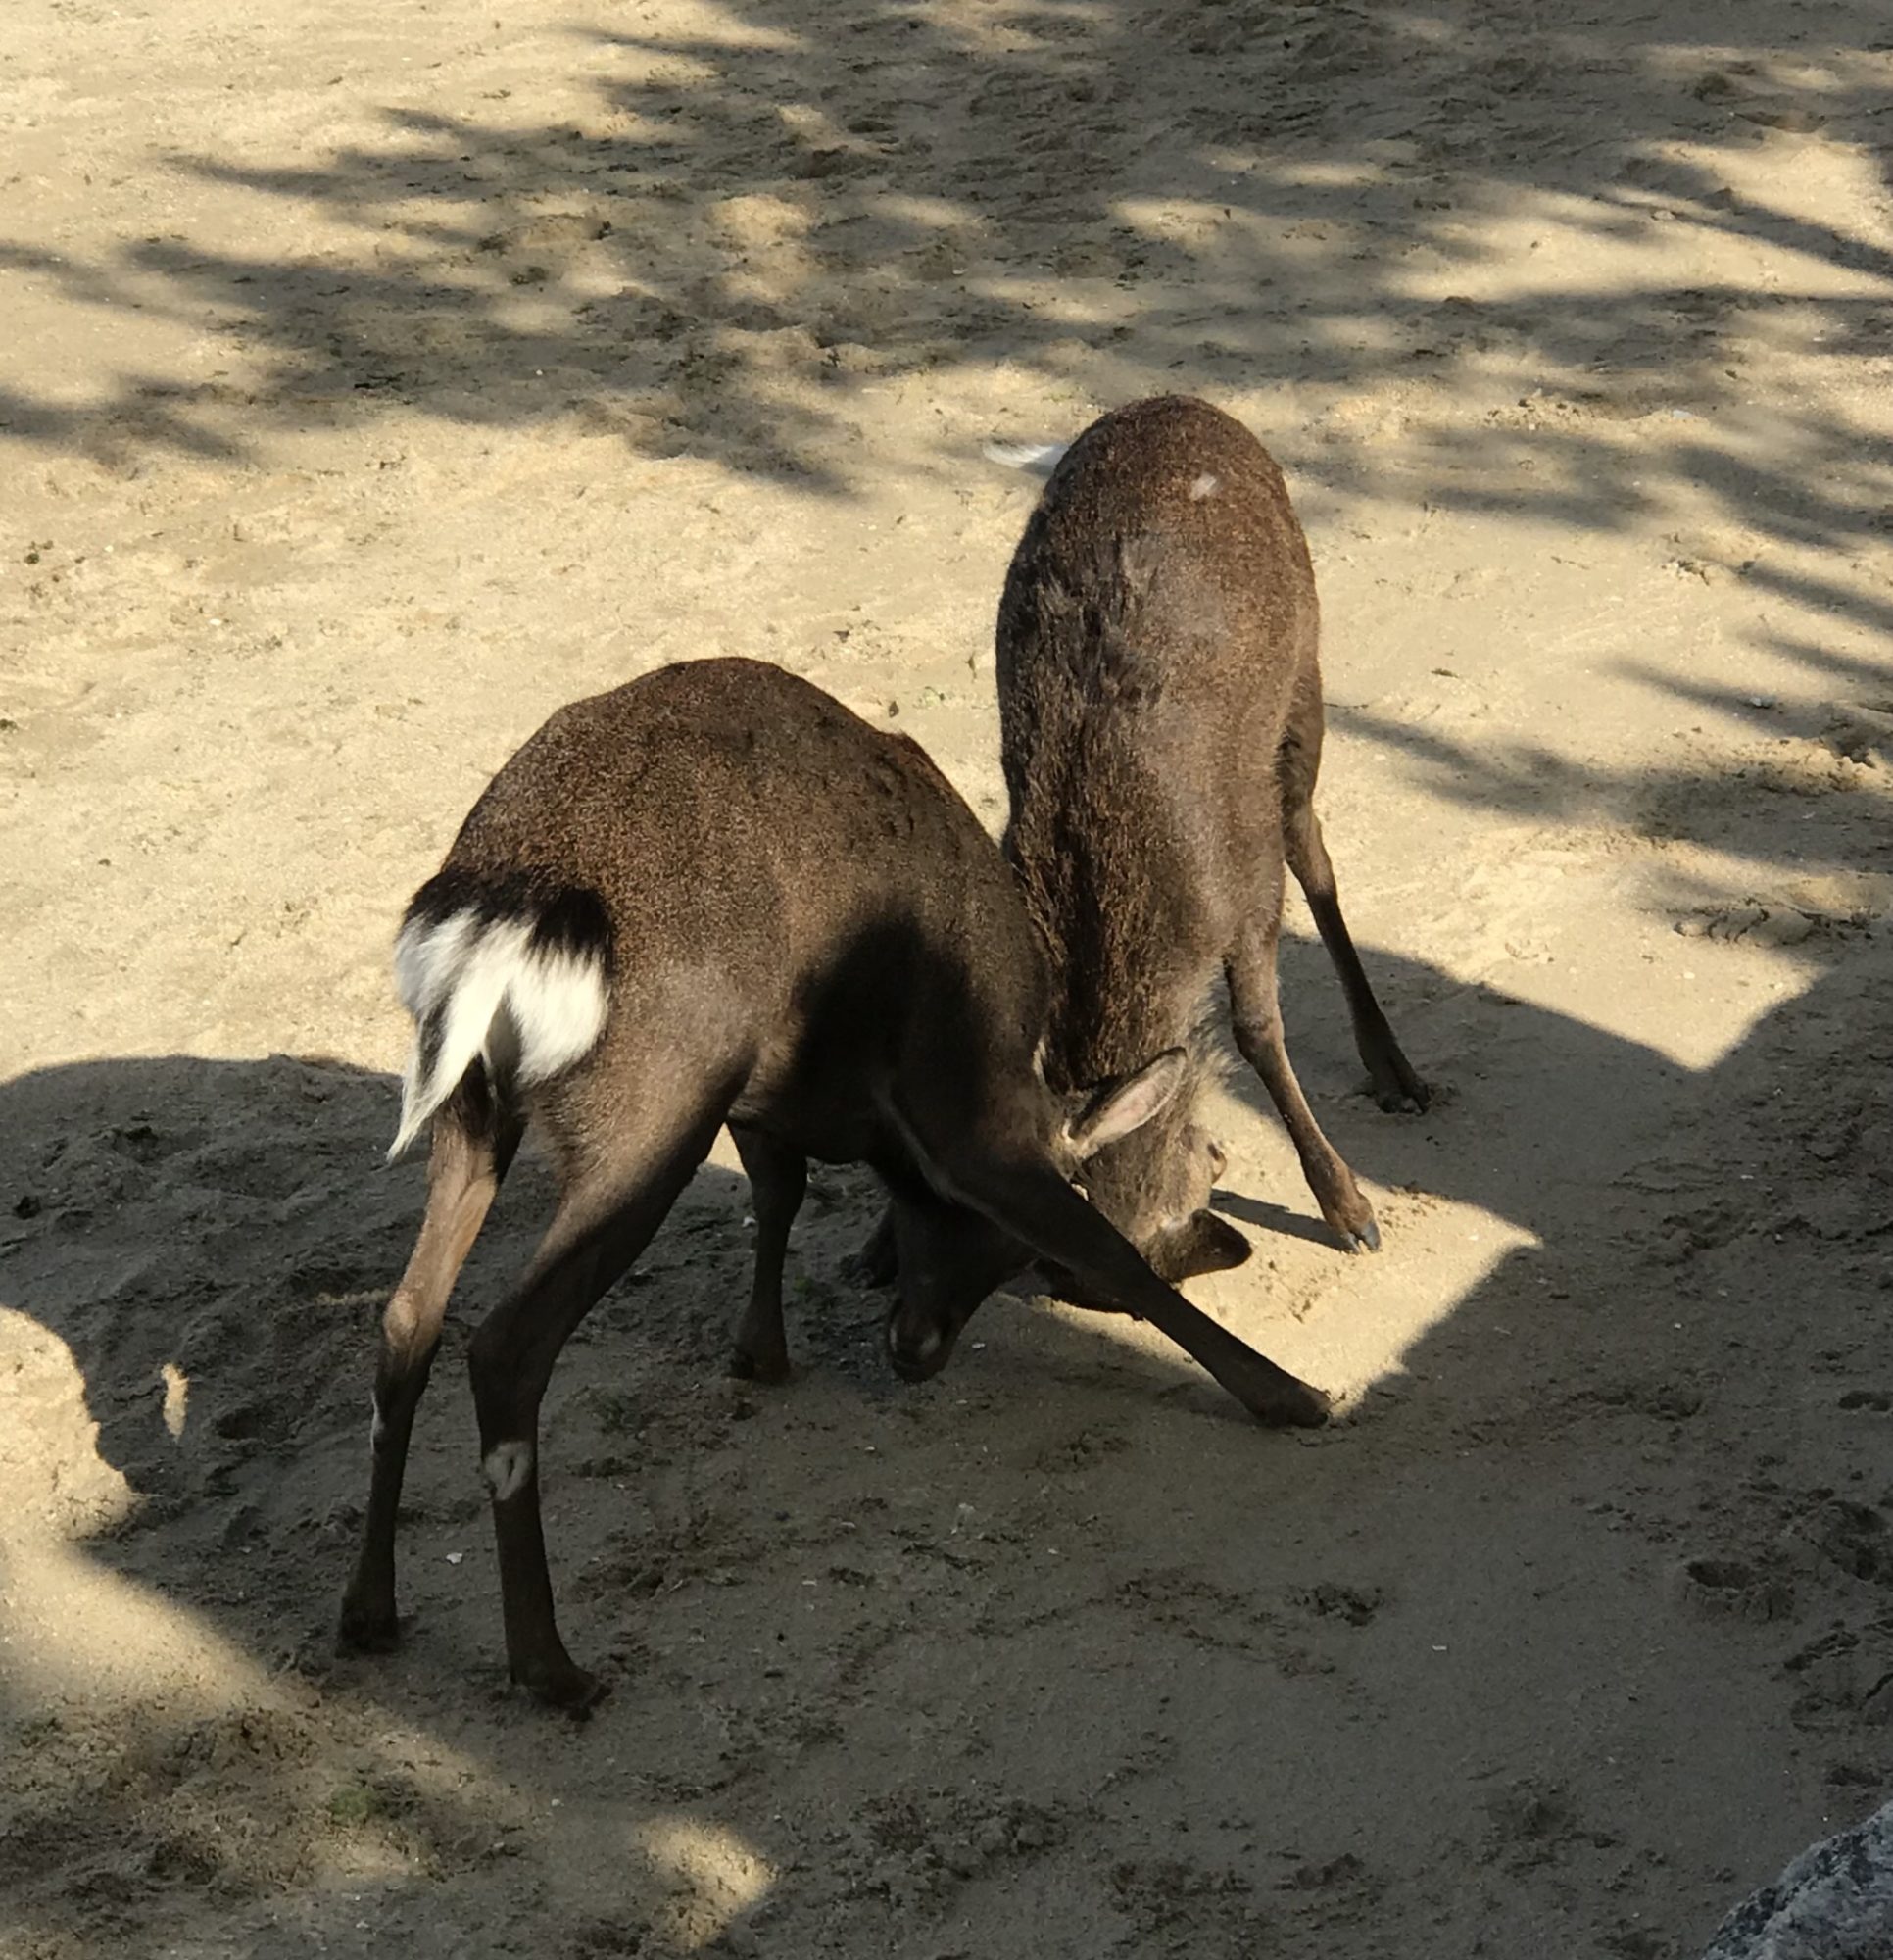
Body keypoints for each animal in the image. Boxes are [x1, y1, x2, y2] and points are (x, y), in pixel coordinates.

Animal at [333, 651, 1325, 1709]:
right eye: (991, 1240)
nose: (915, 1350)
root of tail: (502, 917)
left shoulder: (766, 1093)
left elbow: (780, 1194)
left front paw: (758, 1351)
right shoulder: (963, 1112)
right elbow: (1110, 1252)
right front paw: (1291, 1394)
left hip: (479, 1106)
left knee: (409, 1313)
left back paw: (368, 1611)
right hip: (653, 1102)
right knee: (508, 1342)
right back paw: (550, 1665)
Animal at [866, 396, 1427, 1309]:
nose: (1213, 1156)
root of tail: (1179, 401)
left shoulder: (1245, 879)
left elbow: (1256, 1029)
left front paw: (1349, 1208)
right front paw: (878, 1242)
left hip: (1304, 684)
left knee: (1314, 850)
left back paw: (1397, 1073)